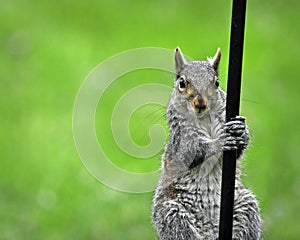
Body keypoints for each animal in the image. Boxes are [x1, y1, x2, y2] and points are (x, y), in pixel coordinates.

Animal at [151, 47, 262, 240]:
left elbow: (239, 150)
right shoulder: (181, 141)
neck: (204, 119)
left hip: (247, 206)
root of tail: (211, 231)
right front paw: (219, 142)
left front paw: (240, 129)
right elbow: (194, 151)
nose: (200, 103)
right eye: (182, 83)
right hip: (173, 216)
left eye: (216, 83)